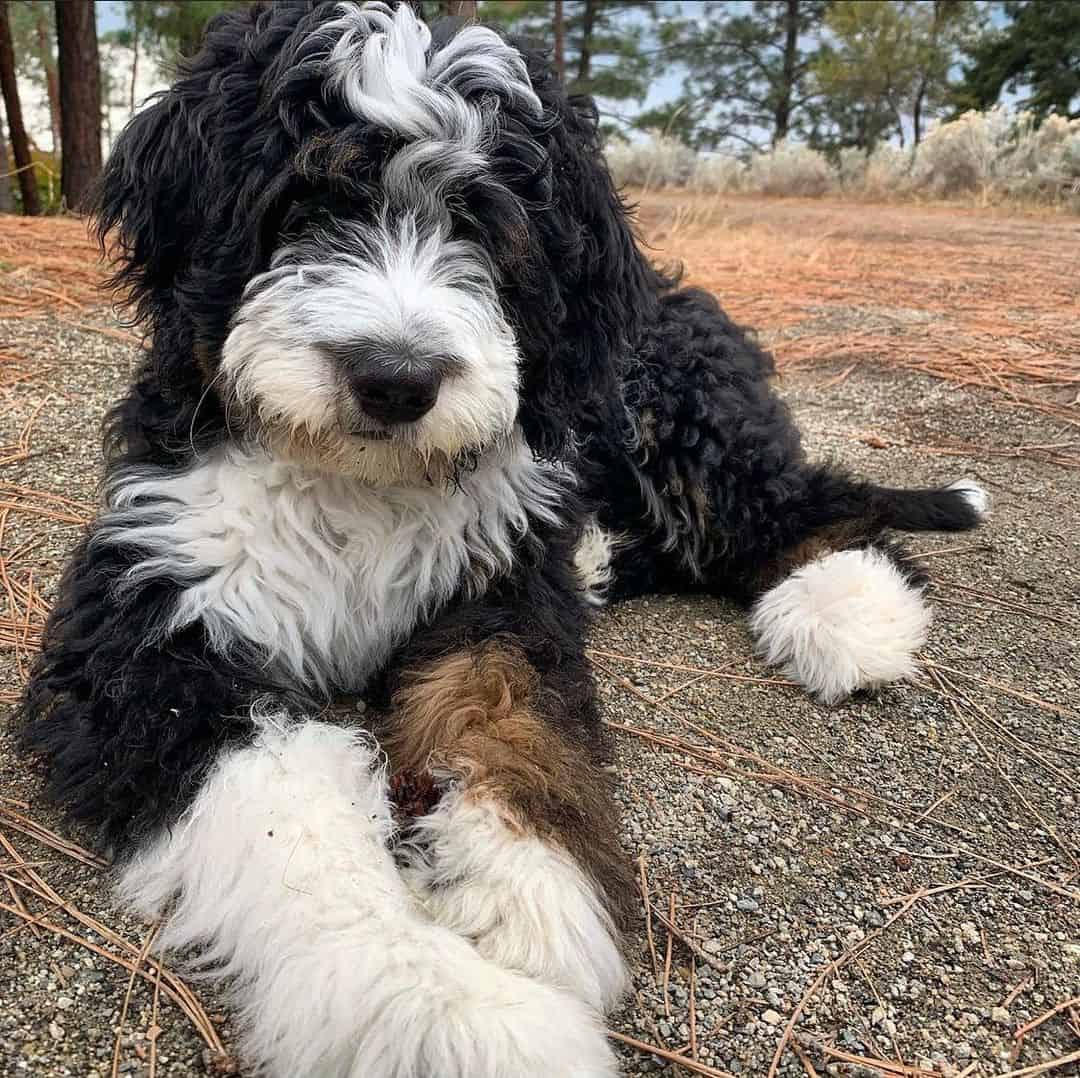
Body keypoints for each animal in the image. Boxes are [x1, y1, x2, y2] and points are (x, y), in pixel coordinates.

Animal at [23, 4, 989, 1075]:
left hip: (664, 412)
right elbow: (287, 806)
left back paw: (852, 602)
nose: (396, 379)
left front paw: (519, 898)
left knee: (789, 505)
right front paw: (442, 1004)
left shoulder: (500, 594)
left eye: (481, 223)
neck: (358, 485)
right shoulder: (145, 626)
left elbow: (509, 722)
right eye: (307, 198)